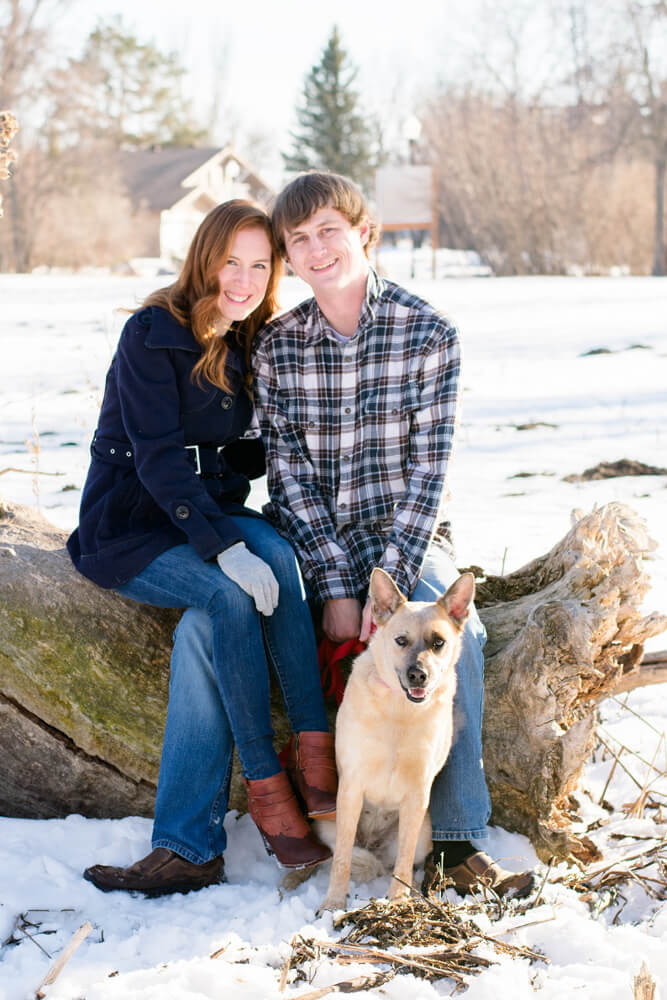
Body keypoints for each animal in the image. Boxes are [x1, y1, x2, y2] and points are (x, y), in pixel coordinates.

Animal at [318, 568, 474, 912]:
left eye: (439, 642)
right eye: (401, 640)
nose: (418, 675)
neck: (399, 712)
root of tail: (374, 844)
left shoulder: (417, 794)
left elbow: (403, 861)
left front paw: (398, 902)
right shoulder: (351, 787)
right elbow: (341, 861)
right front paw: (333, 903)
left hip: (425, 832)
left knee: (405, 861)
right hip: (327, 822)